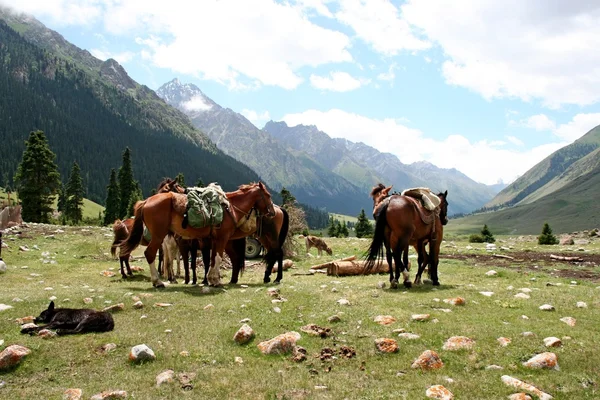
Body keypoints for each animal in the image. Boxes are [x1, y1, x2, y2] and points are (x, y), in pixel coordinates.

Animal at [120, 181, 276, 288]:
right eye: (268, 195)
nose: (273, 212)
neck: (230, 207)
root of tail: (146, 201)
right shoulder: (221, 238)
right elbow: (217, 258)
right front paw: (215, 280)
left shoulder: (213, 241)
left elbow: (212, 259)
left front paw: (211, 279)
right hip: (158, 236)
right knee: (150, 253)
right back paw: (157, 282)